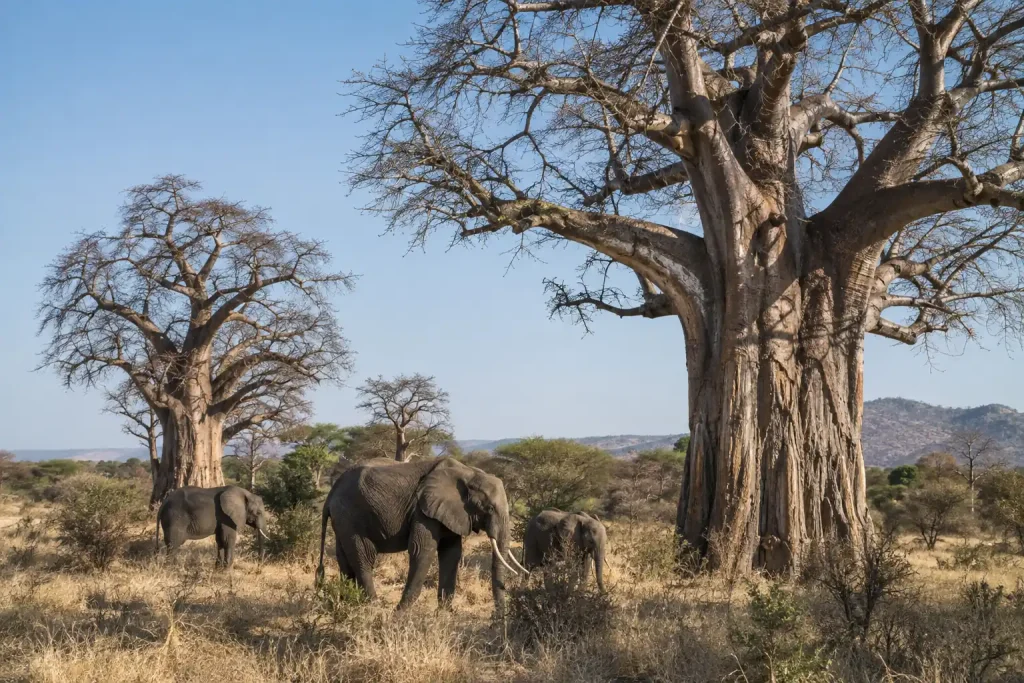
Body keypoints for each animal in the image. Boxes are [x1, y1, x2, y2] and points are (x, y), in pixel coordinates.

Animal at [315, 456, 528, 613]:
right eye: (489, 508)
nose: (497, 619)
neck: (470, 473)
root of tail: (331, 493)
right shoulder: (423, 510)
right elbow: (422, 550)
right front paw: (399, 614)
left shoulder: (449, 513)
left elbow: (451, 553)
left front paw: (443, 614)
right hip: (350, 515)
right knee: (364, 557)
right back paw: (372, 608)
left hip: (342, 520)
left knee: (345, 560)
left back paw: (349, 604)